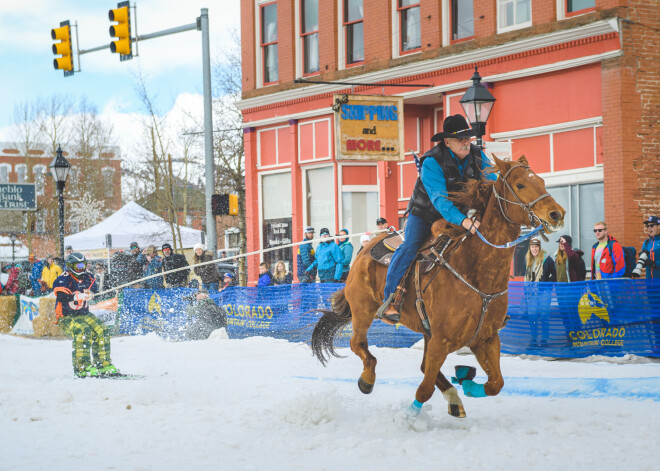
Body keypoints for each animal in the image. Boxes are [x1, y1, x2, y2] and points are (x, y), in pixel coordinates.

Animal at [312, 157, 564, 418]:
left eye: (542, 181)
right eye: (520, 184)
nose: (557, 213)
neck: (475, 271)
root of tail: (365, 248)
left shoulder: (485, 338)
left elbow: (495, 384)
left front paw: (468, 385)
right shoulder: (441, 341)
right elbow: (424, 389)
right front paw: (410, 417)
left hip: (425, 331)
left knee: (425, 367)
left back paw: (456, 391)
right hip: (363, 312)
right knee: (358, 344)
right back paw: (367, 379)